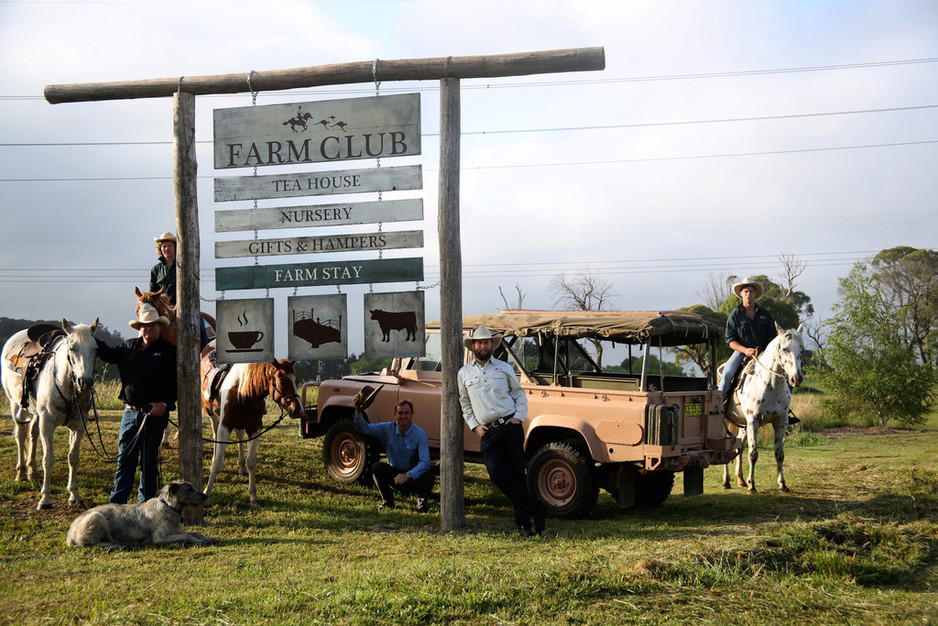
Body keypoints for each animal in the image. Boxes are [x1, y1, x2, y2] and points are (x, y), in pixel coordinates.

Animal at [0, 316, 98, 508]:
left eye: (95, 349)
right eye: (72, 348)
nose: (85, 382)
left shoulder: (78, 426)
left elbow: (73, 457)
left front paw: (74, 495)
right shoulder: (48, 423)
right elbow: (48, 459)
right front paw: (45, 498)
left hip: (35, 413)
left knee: (32, 434)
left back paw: (32, 471)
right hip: (16, 406)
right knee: (20, 435)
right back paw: (21, 473)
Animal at [66, 478, 218, 544]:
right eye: (189, 489)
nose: (205, 496)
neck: (168, 507)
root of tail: (70, 534)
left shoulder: (174, 531)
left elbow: (195, 532)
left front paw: (206, 538)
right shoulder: (160, 538)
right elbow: (186, 535)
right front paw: (197, 541)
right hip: (96, 517)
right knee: (90, 543)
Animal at [200, 346, 304, 502]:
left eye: (297, 381)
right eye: (282, 382)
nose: (298, 410)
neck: (244, 392)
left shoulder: (255, 428)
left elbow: (251, 462)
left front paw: (253, 495)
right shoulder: (225, 425)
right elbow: (218, 463)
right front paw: (207, 492)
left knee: (239, 436)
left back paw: (241, 467)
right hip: (212, 414)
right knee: (215, 434)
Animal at [720, 322, 800, 492]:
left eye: (801, 349)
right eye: (785, 349)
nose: (796, 378)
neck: (770, 385)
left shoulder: (781, 421)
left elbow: (779, 454)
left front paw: (782, 484)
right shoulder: (753, 420)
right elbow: (753, 453)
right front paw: (752, 485)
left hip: (743, 425)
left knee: (739, 446)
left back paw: (740, 480)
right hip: (726, 421)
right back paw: (726, 482)